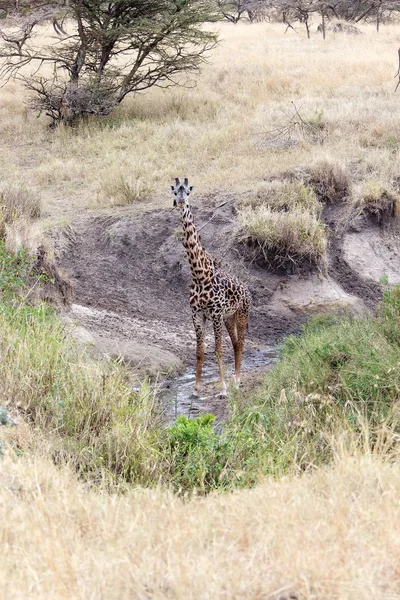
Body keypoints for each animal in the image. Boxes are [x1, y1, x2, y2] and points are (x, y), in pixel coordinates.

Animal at [170, 176, 252, 396]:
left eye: (188, 191)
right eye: (174, 191)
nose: (180, 203)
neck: (200, 275)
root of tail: (247, 290)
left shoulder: (215, 314)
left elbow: (218, 350)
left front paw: (223, 387)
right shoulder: (197, 315)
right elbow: (199, 351)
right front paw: (196, 387)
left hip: (241, 314)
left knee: (241, 343)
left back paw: (237, 380)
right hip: (228, 318)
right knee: (235, 343)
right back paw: (235, 378)